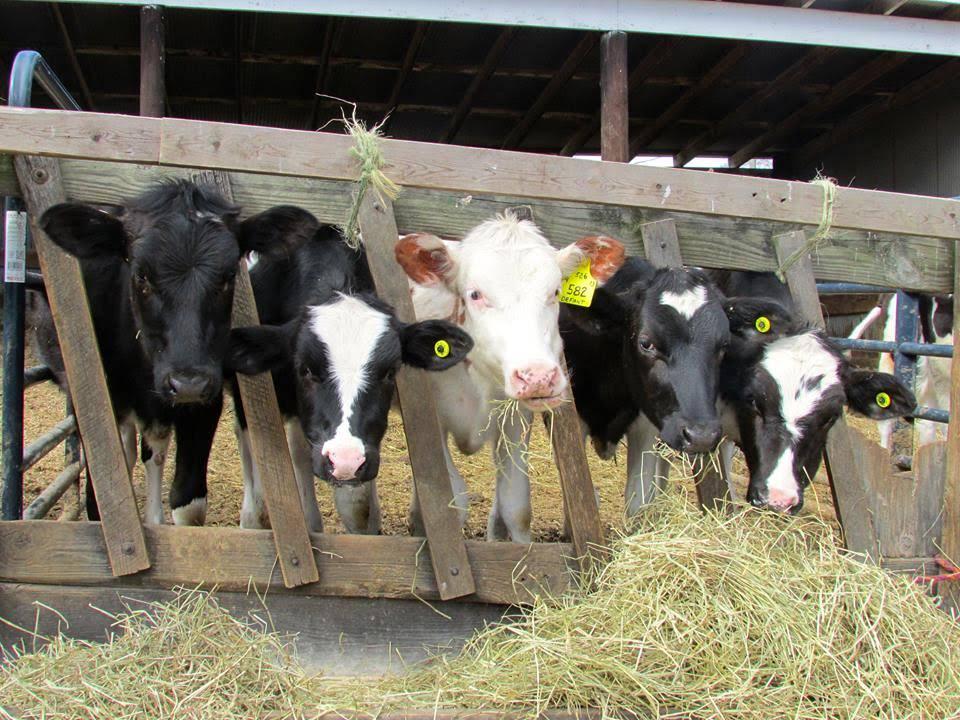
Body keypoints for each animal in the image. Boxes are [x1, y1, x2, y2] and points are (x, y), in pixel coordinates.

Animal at [38, 180, 304, 524]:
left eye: (228, 276)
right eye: (141, 275)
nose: (187, 383)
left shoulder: (205, 403)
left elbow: (188, 501)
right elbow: (102, 495)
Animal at [394, 214, 628, 540]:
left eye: (555, 292)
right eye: (475, 294)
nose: (538, 376)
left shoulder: (515, 422)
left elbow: (516, 506)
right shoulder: (428, 420)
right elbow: (451, 499)